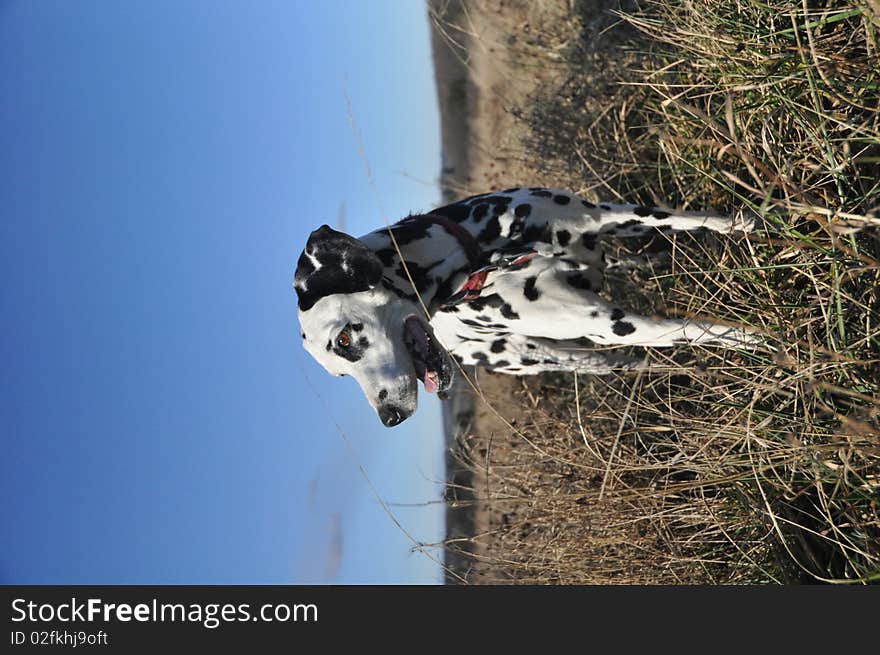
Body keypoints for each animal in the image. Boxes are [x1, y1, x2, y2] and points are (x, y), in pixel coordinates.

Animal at [294, 187, 756, 428]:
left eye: (345, 339)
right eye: (339, 374)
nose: (388, 416)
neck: (483, 258)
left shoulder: (605, 216)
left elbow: (680, 218)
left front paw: (746, 222)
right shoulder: (606, 322)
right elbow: (693, 329)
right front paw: (761, 342)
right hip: (545, 354)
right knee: (621, 361)